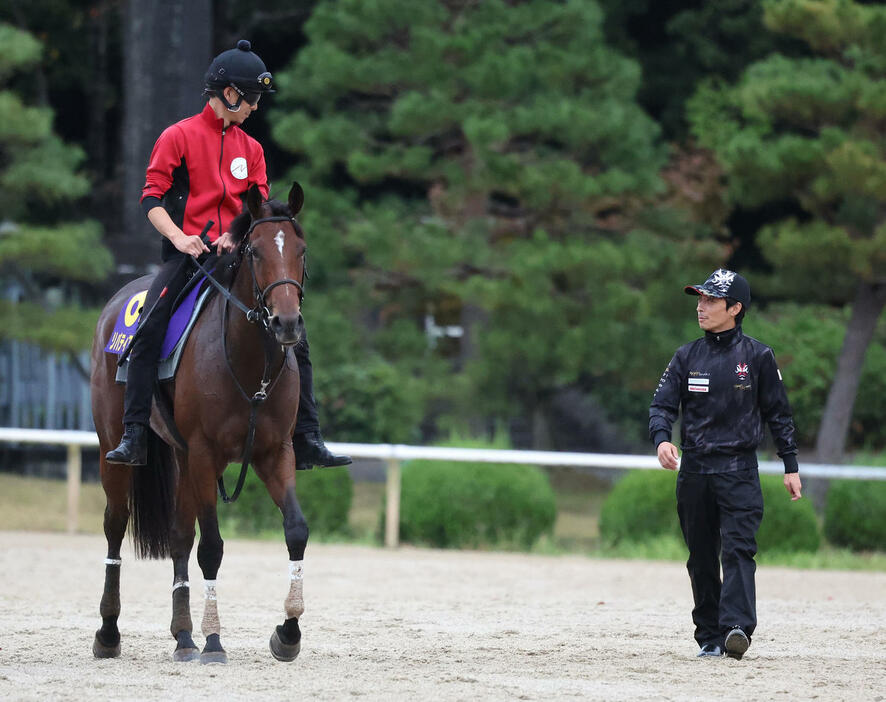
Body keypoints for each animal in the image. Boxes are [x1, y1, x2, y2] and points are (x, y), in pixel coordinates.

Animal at [90, 182, 310, 664]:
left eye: (301, 250)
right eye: (255, 252)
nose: (287, 323)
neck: (248, 362)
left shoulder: (274, 453)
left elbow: (296, 531)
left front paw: (287, 633)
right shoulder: (207, 454)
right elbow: (212, 547)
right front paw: (214, 640)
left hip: (183, 457)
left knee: (177, 536)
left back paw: (183, 635)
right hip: (115, 449)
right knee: (115, 526)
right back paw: (109, 633)